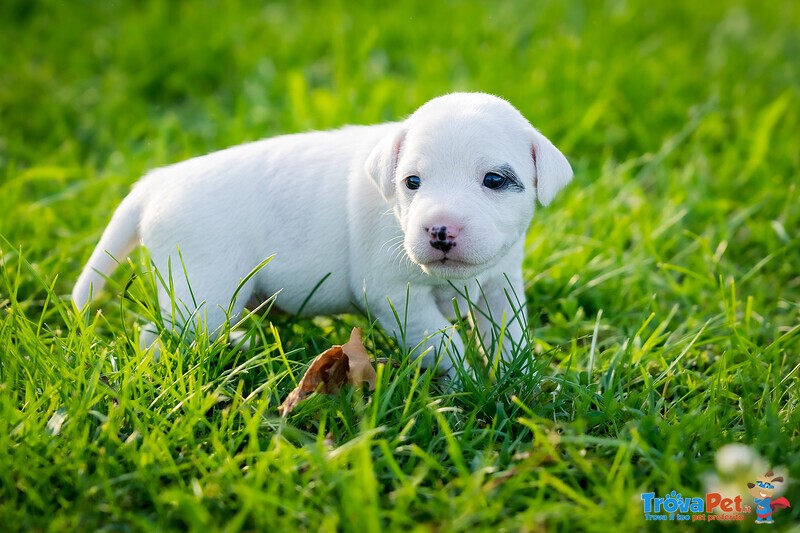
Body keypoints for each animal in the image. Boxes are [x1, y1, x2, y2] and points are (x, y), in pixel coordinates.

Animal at [73, 92, 568, 374]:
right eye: (412, 182)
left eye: (495, 180)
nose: (439, 231)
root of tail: (157, 181)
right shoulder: (396, 296)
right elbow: (442, 340)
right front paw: (462, 381)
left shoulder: (500, 285)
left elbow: (510, 333)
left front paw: (518, 381)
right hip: (202, 294)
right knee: (159, 336)